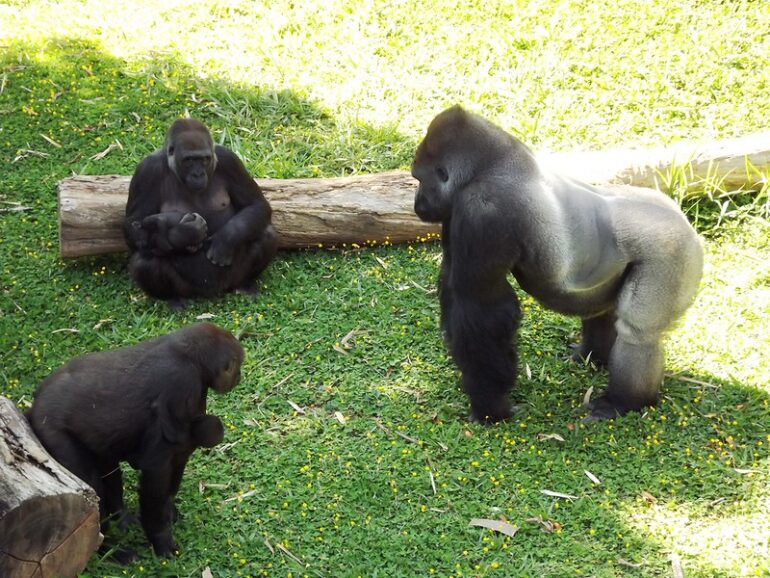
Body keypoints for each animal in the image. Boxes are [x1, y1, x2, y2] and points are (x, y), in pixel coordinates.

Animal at [26, 322, 243, 556]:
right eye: (235, 366)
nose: (238, 376)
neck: (187, 356)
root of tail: (33, 406)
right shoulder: (181, 388)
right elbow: (156, 476)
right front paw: (161, 538)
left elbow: (178, 460)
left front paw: (169, 510)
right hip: (52, 432)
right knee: (91, 488)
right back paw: (110, 549)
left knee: (108, 468)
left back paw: (120, 516)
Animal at [126, 116, 280, 306]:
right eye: (189, 160)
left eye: (205, 159)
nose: (198, 174)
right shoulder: (146, 170)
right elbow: (135, 227)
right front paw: (185, 234)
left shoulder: (230, 160)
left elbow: (255, 204)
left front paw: (226, 239)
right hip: (188, 289)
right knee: (143, 260)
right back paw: (172, 298)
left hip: (231, 278)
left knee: (266, 234)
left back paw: (245, 284)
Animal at [414, 104, 704, 418]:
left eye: (418, 179)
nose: (416, 203)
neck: (489, 167)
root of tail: (687, 224)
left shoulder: (482, 211)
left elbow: (482, 311)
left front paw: (490, 405)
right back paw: (592, 357)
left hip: (674, 253)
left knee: (638, 332)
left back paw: (624, 401)